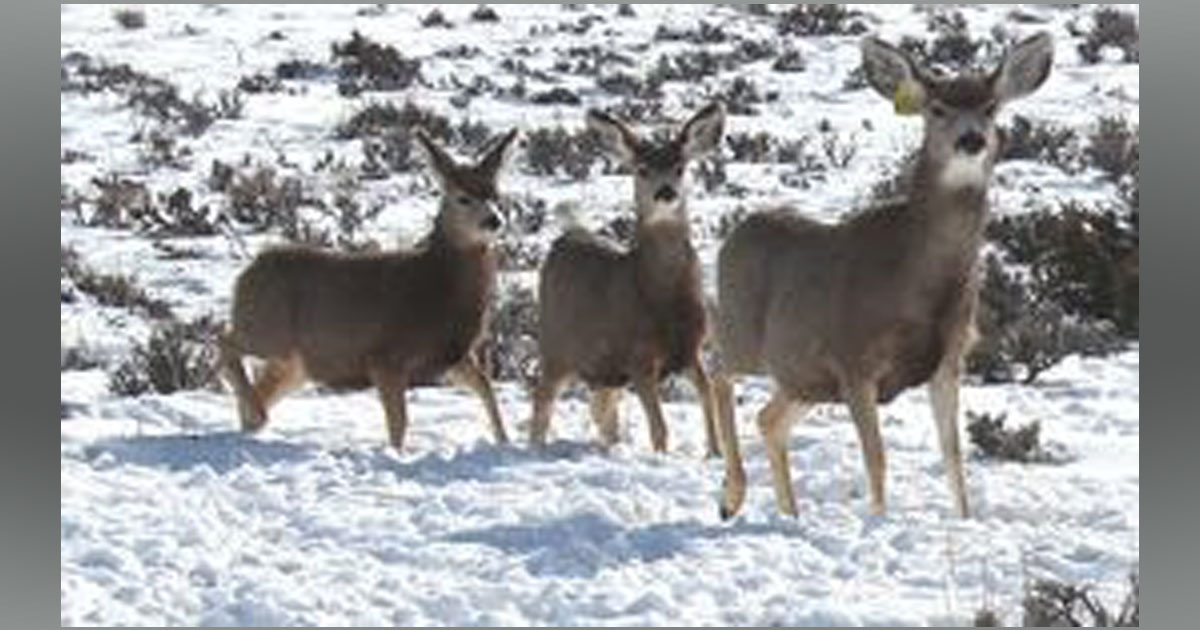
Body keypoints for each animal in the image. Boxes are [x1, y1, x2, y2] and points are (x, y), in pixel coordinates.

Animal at [217, 128, 519, 451]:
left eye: (496, 195)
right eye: (463, 197)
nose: (494, 220)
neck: (436, 282)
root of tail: (248, 271)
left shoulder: (453, 354)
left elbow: (485, 386)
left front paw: (505, 441)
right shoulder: (385, 356)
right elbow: (399, 422)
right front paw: (397, 454)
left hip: (295, 360)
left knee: (261, 383)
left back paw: (253, 423)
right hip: (267, 328)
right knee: (224, 341)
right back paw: (257, 415)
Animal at [529, 103, 725, 457]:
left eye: (679, 167)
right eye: (642, 169)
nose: (666, 192)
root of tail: (566, 235)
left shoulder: (690, 349)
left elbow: (708, 398)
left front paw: (714, 453)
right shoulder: (639, 356)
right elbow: (660, 427)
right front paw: (662, 456)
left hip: (605, 368)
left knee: (602, 409)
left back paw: (611, 447)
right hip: (555, 347)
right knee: (542, 402)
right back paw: (535, 447)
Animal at [712, 33, 1055, 519]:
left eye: (990, 107)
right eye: (937, 108)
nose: (971, 139)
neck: (919, 282)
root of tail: (734, 235)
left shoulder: (949, 359)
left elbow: (953, 455)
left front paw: (964, 518)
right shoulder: (853, 357)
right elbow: (876, 457)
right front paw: (878, 518)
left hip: (803, 376)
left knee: (768, 418)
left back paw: (789, 512)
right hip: (745, 334)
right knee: (716, 371)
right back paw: (731, 496)